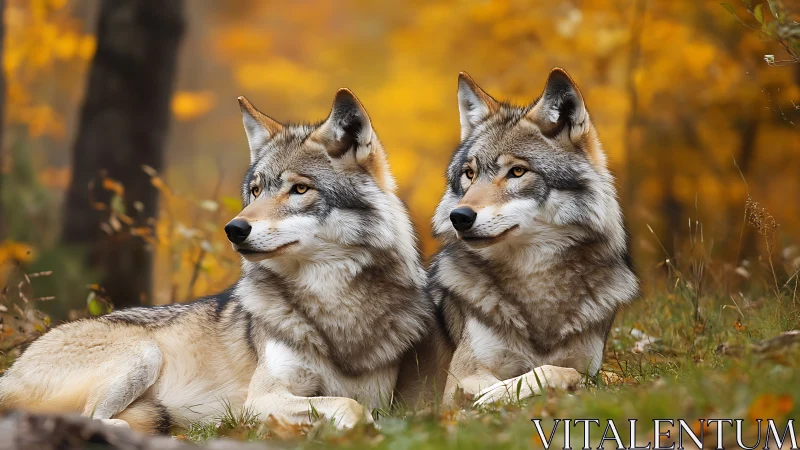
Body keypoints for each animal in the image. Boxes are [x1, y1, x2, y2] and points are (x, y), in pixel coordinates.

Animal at [0, 89, 434, 432]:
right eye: (255, 191)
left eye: (299, 189)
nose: (234, 228)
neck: (332, 306)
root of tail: (13, 366)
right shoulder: (260, 400)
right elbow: (349, 408)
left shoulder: (377, 397)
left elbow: (358, 406)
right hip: (143, 354)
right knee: (90, 419)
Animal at [428, 68, 639, 405]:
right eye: (469, 174)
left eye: (517, 172)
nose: (459, 217)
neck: (536, 279)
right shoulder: (460, 377)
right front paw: (493, 395)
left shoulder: (593, 370)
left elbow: (566, 371)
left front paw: (498, 393)